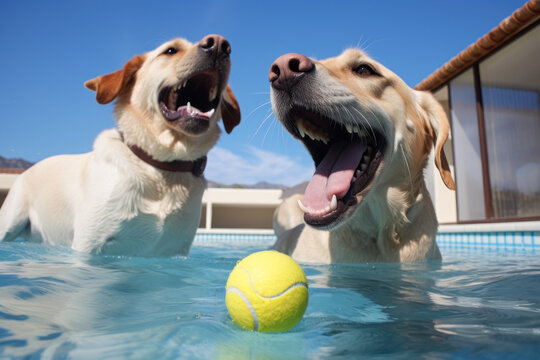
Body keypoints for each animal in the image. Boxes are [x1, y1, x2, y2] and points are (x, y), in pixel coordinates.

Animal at [0, 34, 240, 256]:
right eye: (170, 50)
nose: (220, 44)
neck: (161, 167)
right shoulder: (89, 245)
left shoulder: (176, 252)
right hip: (10, 221)